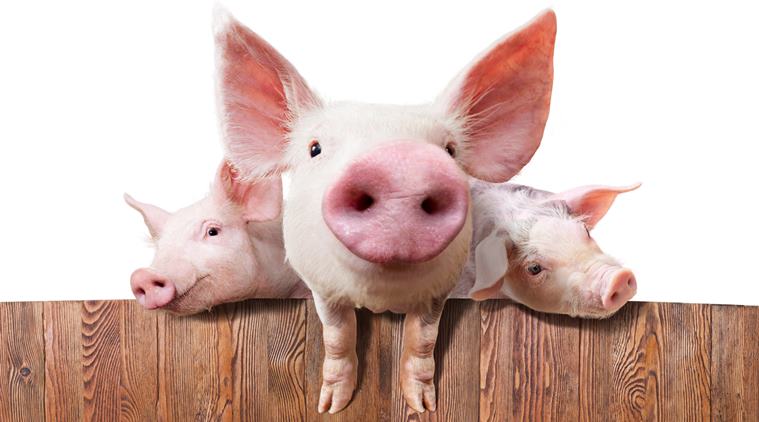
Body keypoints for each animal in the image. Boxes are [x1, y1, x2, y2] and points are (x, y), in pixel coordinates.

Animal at [214, 10, 556, 413]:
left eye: (450, 150)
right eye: (315, 148)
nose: (400, 163)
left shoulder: (441, 289)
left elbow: (423, 339)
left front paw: (423, 406)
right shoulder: (320, 286)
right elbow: (337, 337)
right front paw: (331, 406)